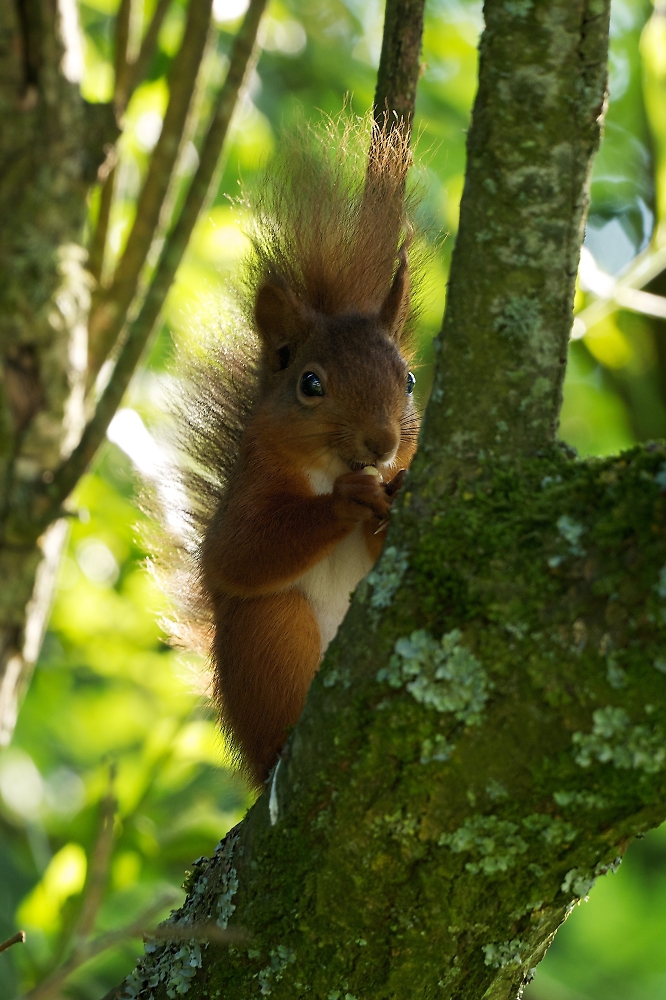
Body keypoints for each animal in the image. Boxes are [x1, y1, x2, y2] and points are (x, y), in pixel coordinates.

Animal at [164, 118, 421, 786]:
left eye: (410, 380)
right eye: (310, 384)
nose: (383, 444)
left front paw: (391, 494)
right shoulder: (253, 487)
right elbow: (241, 549)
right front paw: (346, 501)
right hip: (272, 636)